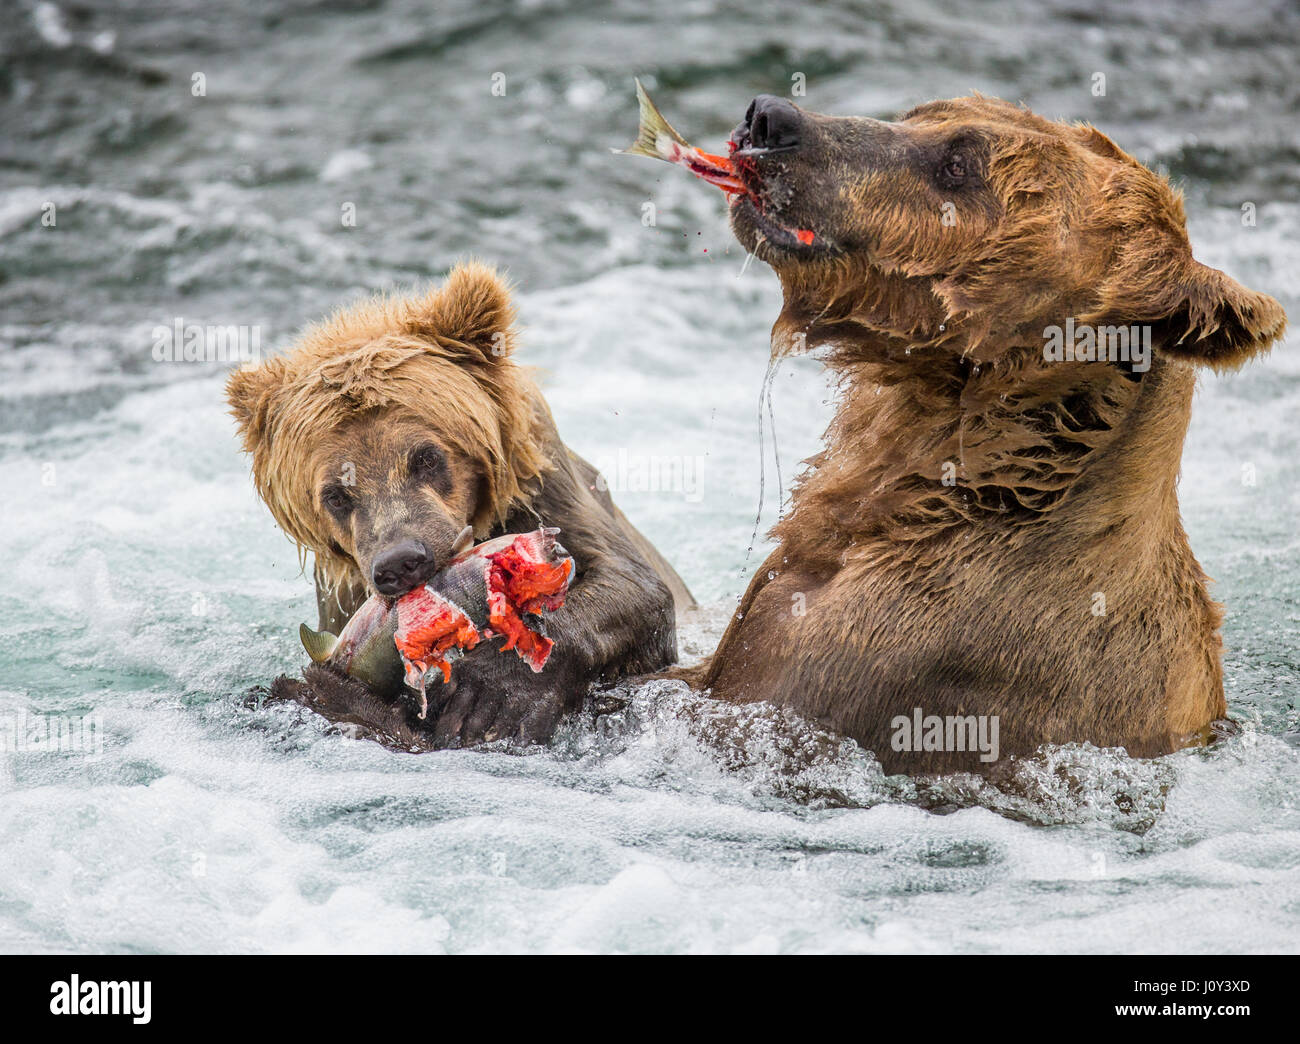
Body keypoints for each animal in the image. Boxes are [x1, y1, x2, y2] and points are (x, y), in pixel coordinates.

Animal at [227, 262, 693, 748]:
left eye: (426, 456)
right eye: (335, 494)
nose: (401, 562)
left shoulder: (550, 491)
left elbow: (634, 588)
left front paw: (491, 694)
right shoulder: (342, 594)